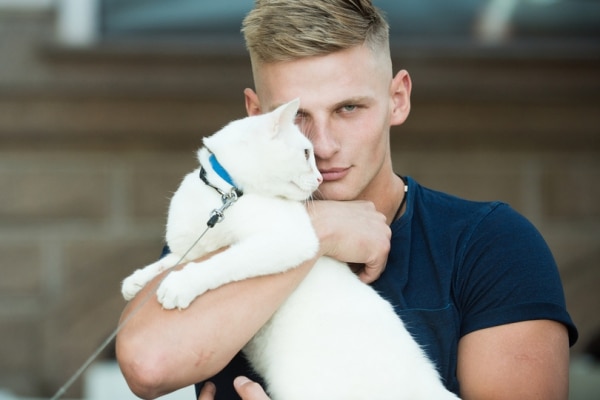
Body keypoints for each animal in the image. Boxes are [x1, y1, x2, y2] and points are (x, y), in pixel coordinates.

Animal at [122, 100, 460, 400]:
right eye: (307, 153)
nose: (320, 176)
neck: (224, 194)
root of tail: (431, 389)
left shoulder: (286, 240)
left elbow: (223, 261)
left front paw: (180, 284)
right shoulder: (194, 245)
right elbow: (170, 260)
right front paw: (137, 280)